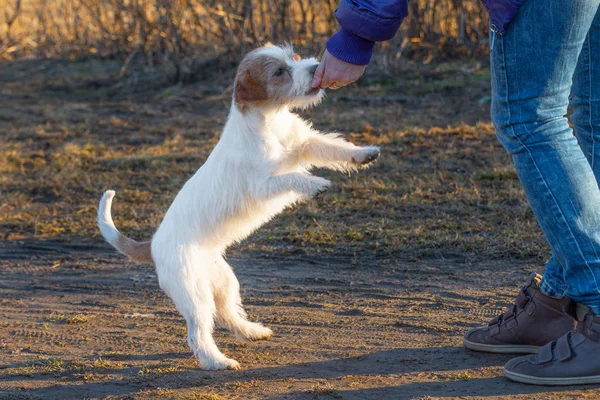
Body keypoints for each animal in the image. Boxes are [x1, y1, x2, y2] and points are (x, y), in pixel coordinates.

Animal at [98, 43, 380, 368]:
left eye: (294, 58)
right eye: (279, 72)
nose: (315, 68)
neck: (270, 121)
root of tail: (153, 244)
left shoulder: (305, 144)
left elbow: (333, 147)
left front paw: (364, 154)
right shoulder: (265, 183)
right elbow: (295, 176)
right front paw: (316, 185)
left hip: (223, 282)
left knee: (226, 314)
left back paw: (253, 332)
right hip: (194, 292)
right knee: (197, 333)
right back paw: (218, 362)